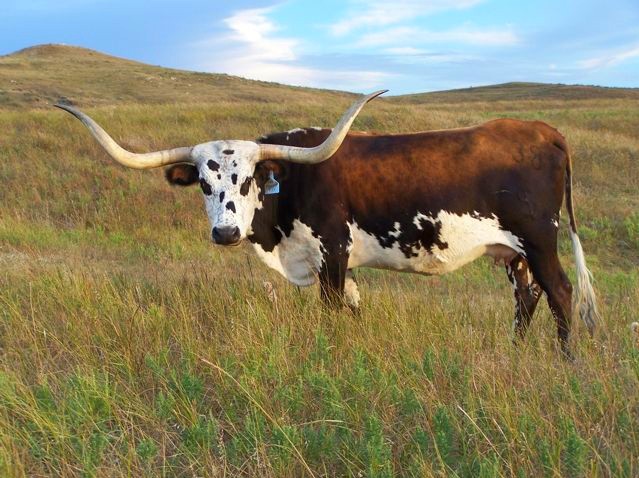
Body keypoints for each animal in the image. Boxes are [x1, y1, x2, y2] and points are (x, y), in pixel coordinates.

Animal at [56, 91, 599, 358]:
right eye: (205, 186)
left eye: (248, 179)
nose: (225, 233)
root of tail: (542, 130)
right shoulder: (342, 263)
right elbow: (354, 311)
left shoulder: (332, 252)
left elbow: (333, 312)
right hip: (512, 253)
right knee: (527, 297)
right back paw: (515, 353)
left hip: (540, 238)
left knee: (560, 292)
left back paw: (565, 361)